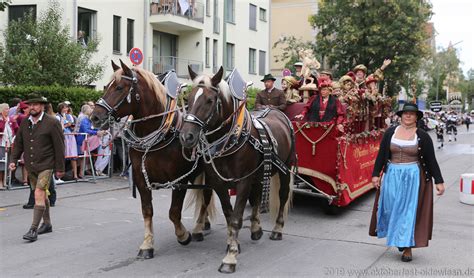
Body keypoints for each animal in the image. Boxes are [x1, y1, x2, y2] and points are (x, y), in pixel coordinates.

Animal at [90, 60, 215, 260]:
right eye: (107, 86)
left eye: (119, 87)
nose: (94, 116)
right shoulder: (141, 179)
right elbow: (147, 211)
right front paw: (147, 245)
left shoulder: (179, 180)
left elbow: (174, 213)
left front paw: (183, 235)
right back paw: (204, 224)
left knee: (206, 197)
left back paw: (197, 228)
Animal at [181, 66, 294, 272]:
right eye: (189, 98)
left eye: (209, 100)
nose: (186, 137)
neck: (232, 138)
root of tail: (276, 112)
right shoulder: (218, 183)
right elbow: (228, 214)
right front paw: (232, 244)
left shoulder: (243, 181)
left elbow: (236, 218)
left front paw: (230, 258)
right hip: (258, 174)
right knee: (257, 197)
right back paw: (256, 228)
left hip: (285, 167)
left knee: (282, 195)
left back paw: (277, 228)